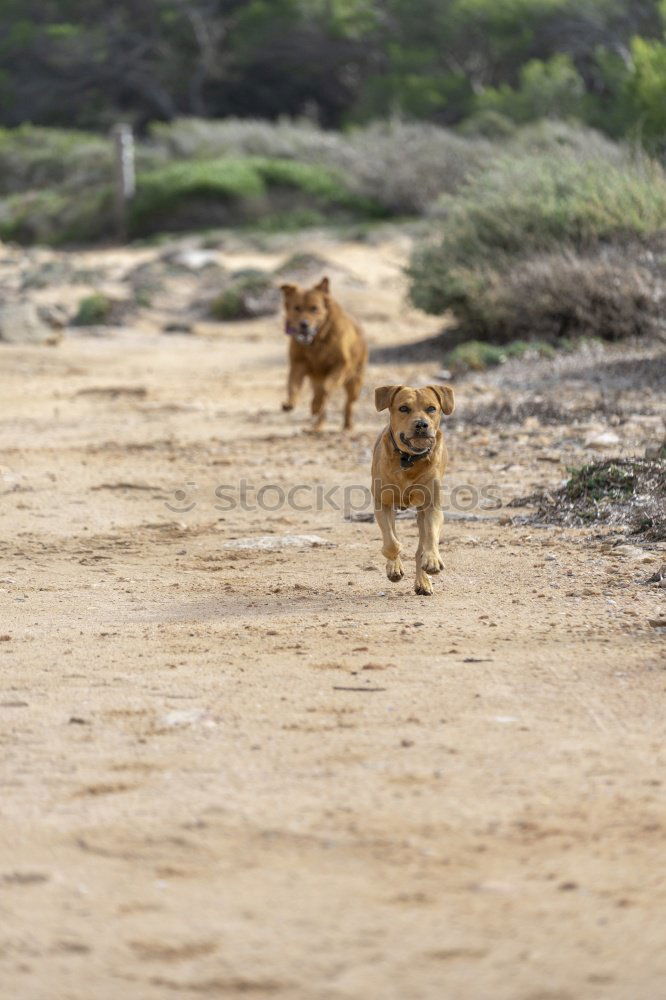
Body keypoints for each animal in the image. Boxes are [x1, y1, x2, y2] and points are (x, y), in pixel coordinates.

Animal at [278, 278, 366, 430]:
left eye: (314, 308)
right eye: (297, 308)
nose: (304, 325)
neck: (317, 341)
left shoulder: (341, 365)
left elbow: (325, 388)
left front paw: (316, 405)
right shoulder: (298, 365)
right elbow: (293, 386)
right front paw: (289, 403)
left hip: (355, 380)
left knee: (348, 403)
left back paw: (348, 425)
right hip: (316, 379)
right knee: (322, 400)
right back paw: (317, 425)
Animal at [370, 384, 454, 592]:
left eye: (431, 408)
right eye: (403, 408)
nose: (421, 424)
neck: (409, 459)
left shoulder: (432, 506)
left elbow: (430, 537)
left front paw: (432, 560)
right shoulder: (383, 503)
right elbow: (391, 542)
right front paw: (394, 563)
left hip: (421, 513)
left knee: (421, 544)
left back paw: (423, 581)